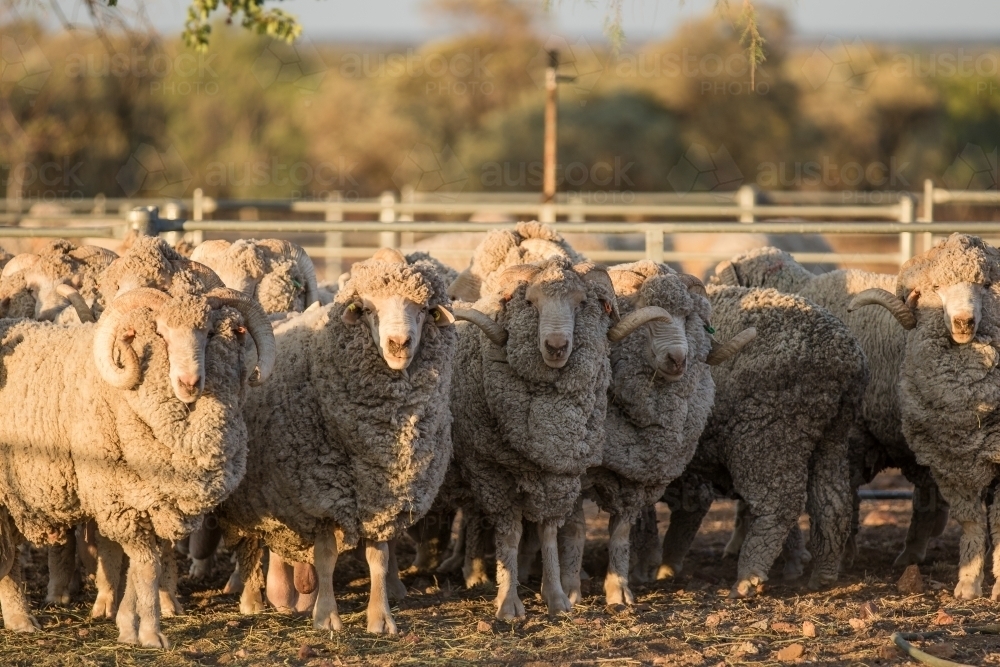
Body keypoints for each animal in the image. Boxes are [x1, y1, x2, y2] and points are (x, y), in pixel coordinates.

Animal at [0, 284, 274, 644]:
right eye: (161, 333)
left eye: (209, 333)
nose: (189, 382)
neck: (123, 398)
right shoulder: (119, 500)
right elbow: (147, 566)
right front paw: (150, 633)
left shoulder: (154, 502)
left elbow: (142, 565)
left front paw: (128, 623)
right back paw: (20, 618)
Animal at [217, 248, 458, 636]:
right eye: (369, 310)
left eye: (422, 310)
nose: (399, 344)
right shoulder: (323, 495)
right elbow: (327, 557)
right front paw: (327, 617)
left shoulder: (382, 499)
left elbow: (378, 559)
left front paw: (380, 618)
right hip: (251, 498)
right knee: (251, 544)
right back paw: (254, 600)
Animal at [656, 284, 868, 596]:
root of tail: (843, 357)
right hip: (831, 435)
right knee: (832, 500)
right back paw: (823, 574)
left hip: (767, 432)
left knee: (778, 505)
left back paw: (748, 577)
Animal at [848, 234, 1000, 600]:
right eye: (936, 287)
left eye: (986, 285)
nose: (964, 322)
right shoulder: (952, 464)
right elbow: (971, 521)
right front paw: (968, 583)